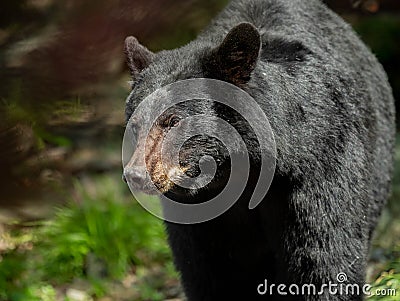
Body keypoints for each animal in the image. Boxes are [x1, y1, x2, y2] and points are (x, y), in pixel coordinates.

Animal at [123, 0, 396, 298]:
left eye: (173, 121)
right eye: (135, 125)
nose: (135, 175)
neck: (240, 173)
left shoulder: (318, 166)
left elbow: (324, 255)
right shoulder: (198, 214)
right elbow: (206, 270)